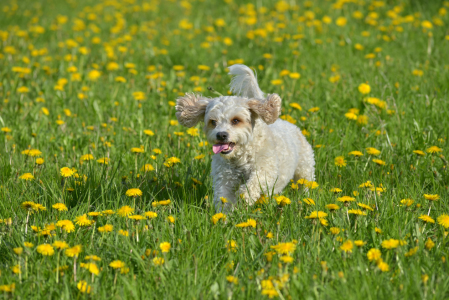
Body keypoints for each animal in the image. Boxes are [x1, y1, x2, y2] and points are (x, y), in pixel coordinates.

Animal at [173, 65, 314, 211]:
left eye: (236, 120)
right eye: (213, 122)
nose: (221, 135)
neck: (240, 158)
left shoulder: (266, 169)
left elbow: (255, 183)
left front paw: (245, 197)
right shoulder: (224, 177)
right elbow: (223, 198)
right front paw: (225, 214)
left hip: (305, 167)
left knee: (305, 182)